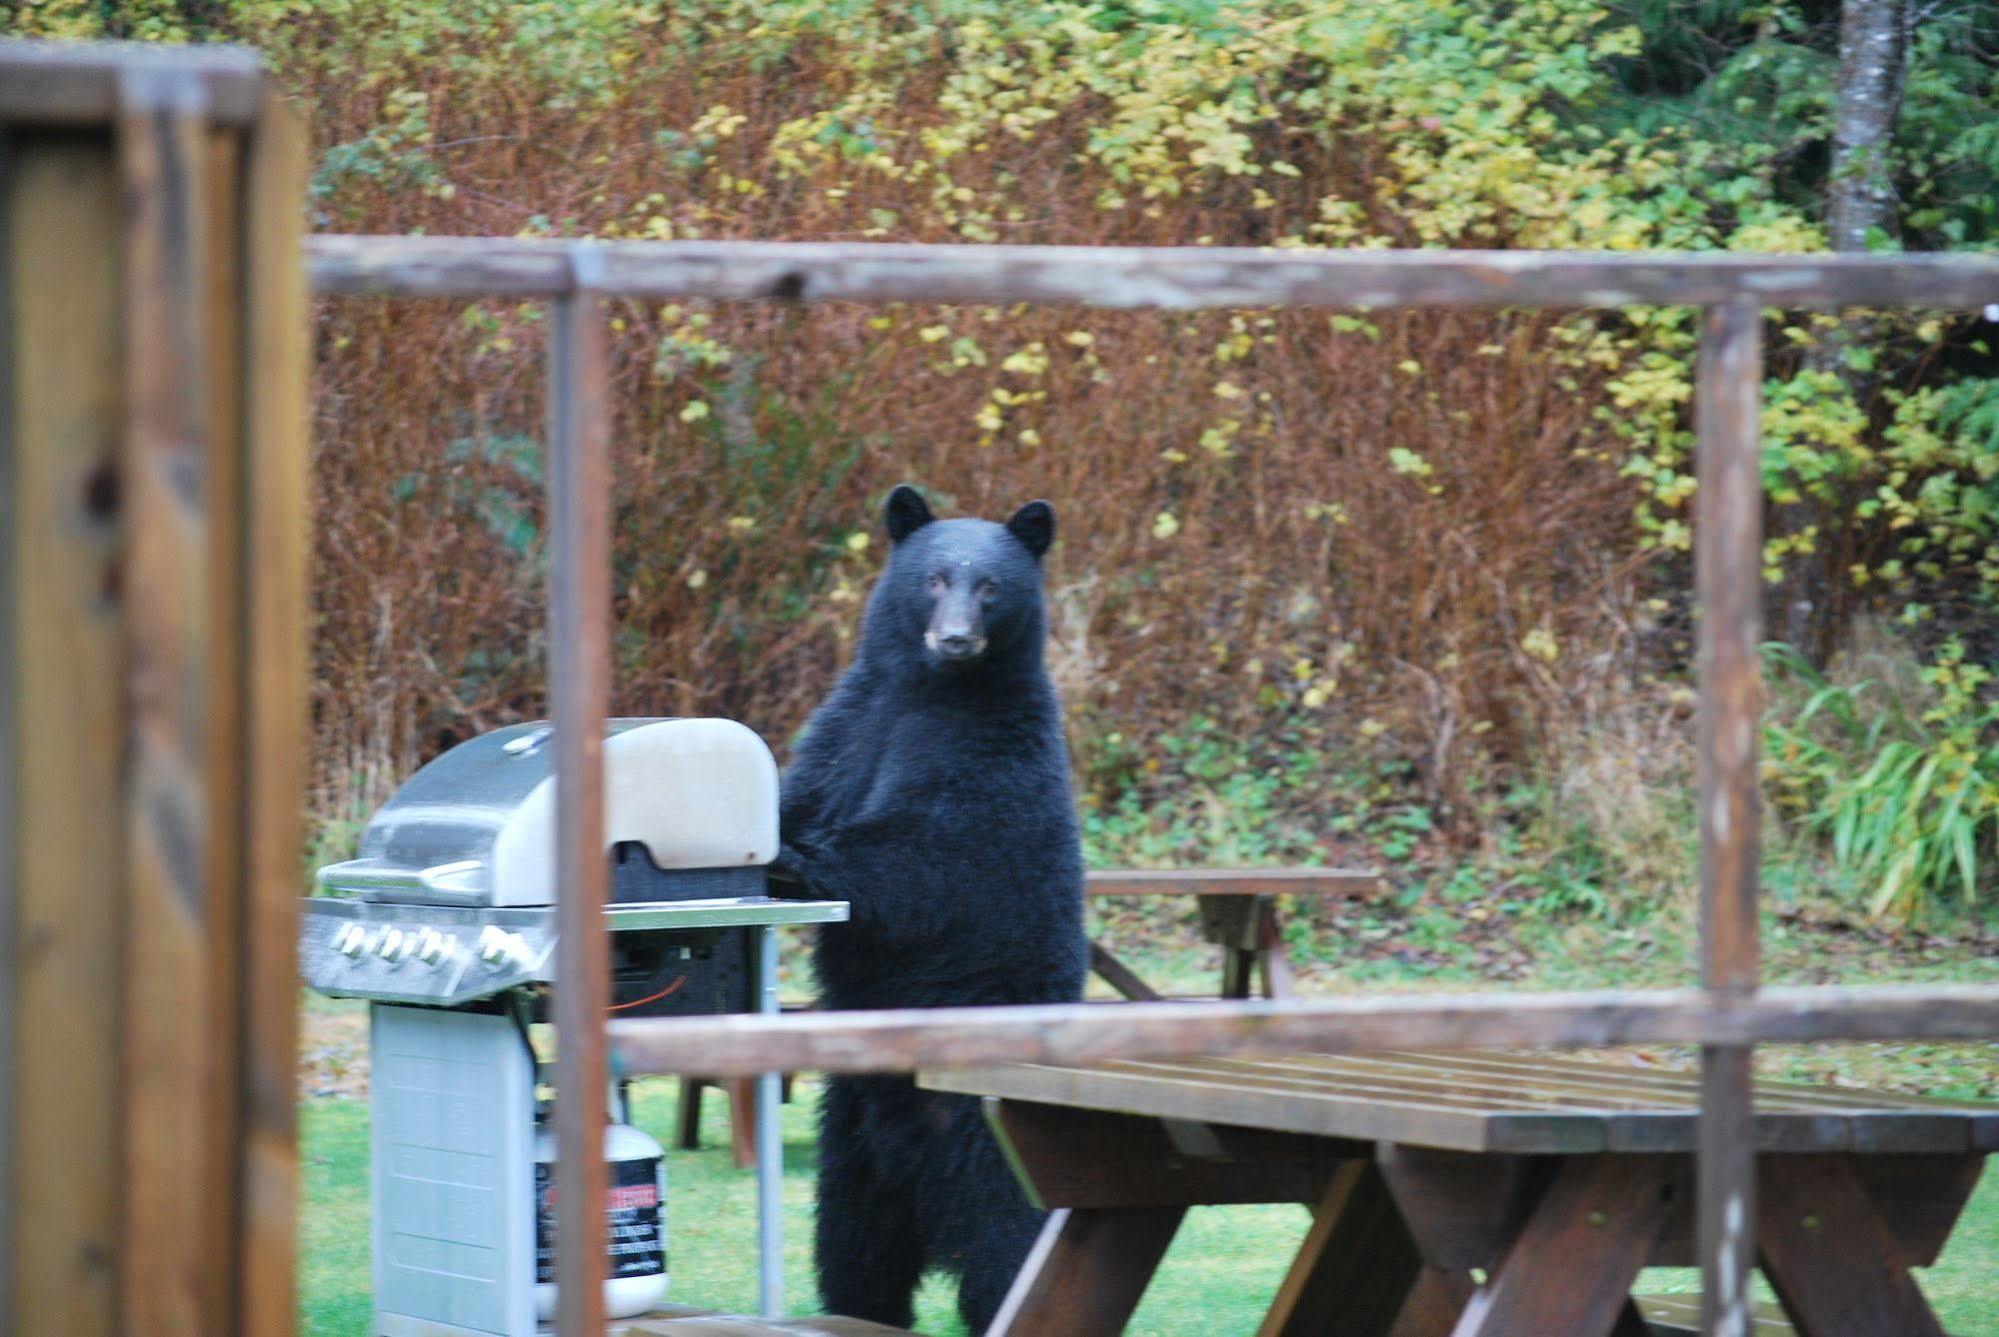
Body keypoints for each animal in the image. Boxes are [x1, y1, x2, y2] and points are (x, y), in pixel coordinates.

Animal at [771, 485, 1087, 1327]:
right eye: (934, 577)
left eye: (991, 587)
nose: (954, 639)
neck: (927, 690)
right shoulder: (850, 726)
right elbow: (798, 791)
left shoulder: (990, 759)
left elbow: (927, 856)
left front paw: (796, 860)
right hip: (848, 1147)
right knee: (853, 1255)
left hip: (984, 1138)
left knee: (1008, 1247)